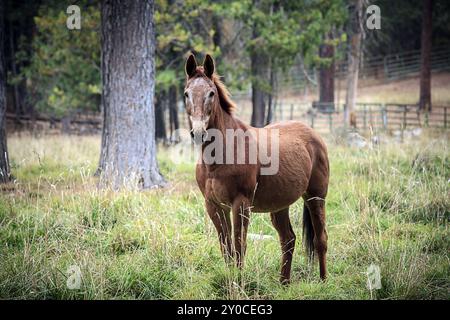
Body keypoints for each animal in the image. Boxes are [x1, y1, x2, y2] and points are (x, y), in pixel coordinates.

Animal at [184, 53, 330, 284]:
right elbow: (226, 248)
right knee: (288, 239)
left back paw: (323, 281)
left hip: (316, 197)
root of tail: (314, 135)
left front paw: (238, 283)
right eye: (186, 93)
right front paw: (230, 282)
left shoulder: (240, 204)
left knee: (320, 239)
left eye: (211, 93)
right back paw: (284, 283)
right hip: (280, 205)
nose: (198, 132)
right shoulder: (214, 206)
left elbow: (239, 247)